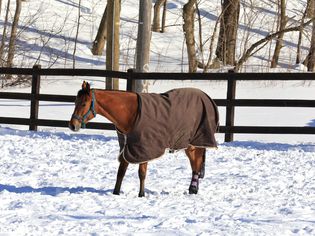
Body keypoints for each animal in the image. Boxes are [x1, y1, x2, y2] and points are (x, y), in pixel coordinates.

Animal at [69, 81, 220, 197]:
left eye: (83, 104)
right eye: (75, 102)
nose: (72, 125)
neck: (131, 112)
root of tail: (207, 98)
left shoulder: (144, 148)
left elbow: (141, 173)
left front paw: (141, 194)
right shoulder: (128, 147)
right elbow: (121, 172)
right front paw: (116, 193)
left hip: (196, 142)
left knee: (197, 163)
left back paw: (193, 189)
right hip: (190, 144)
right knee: (195, 164)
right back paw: (192, 189)